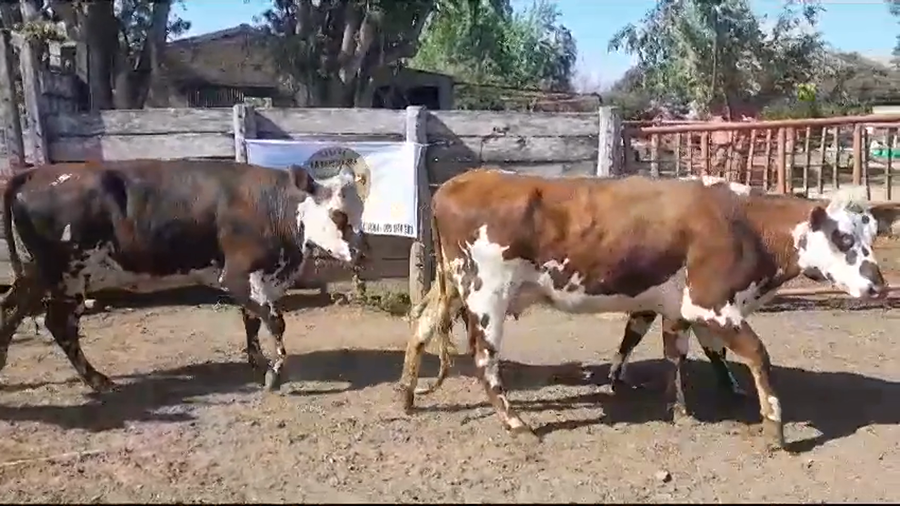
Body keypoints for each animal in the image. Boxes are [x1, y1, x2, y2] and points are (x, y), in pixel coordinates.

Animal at [0, 159, 366, 392]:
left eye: (361, 211)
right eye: (338, 215)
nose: (362, 253)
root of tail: (33, 173)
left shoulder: (261, 281)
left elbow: (251, 321)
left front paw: (258, 361)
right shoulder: (236, 276)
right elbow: (275, 323)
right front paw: (275, 373)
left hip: (40, 271)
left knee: (13, 308)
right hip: (69, 275)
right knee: (59, 325)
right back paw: (96, 379)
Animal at [396, 168, 890, 450]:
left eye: (872, 234)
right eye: (843, 238)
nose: (878, 285)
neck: (743, 223)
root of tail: (458, 182)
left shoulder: (676, 304)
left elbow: (677, 351)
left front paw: (683, 405)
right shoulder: (710, 303)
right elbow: (756, 356)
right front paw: (774, 426)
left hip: (453, 285)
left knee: (420, 329)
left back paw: (406, 396)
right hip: (487, 294)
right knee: (485, 358)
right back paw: (516, 423)